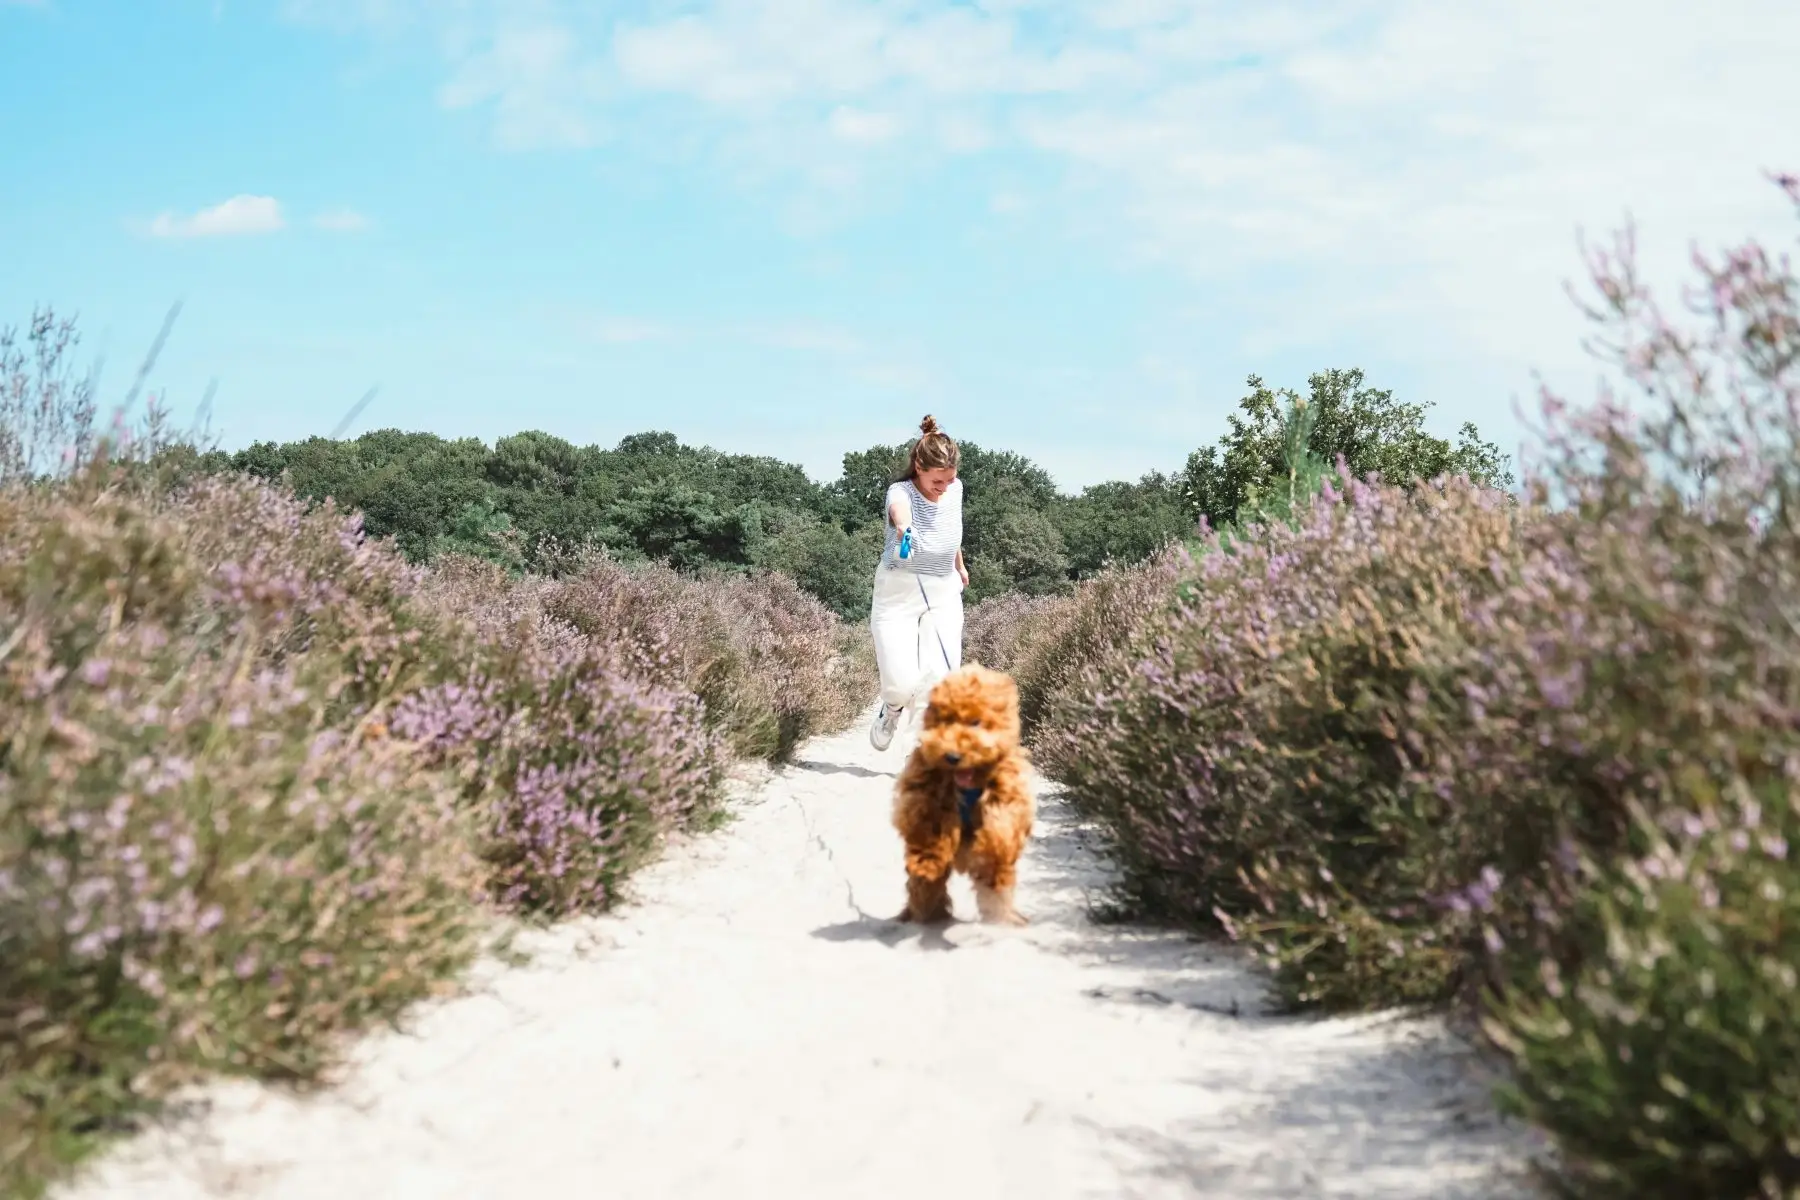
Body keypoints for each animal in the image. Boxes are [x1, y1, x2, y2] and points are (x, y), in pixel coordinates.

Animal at [892, 662, 1036, 928]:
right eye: (946, 721)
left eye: (976, 722)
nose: (952, 756)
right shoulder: (925, 793)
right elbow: (928, 828)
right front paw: (927, 862)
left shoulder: (1008, 792)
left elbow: (1002, 826)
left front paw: (992, 851)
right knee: (924, 890)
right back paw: (926, 912)